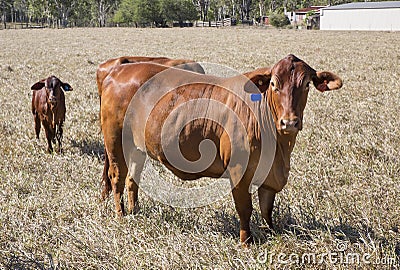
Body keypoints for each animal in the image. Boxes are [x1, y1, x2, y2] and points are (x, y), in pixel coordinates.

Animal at [100, 54, 340, 245]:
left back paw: (135, 212)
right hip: (115, 141)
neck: (280, 147)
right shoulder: (238, 170)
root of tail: (118, 70)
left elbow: (266, 209)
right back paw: (121, 216)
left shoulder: (270, 174)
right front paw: (246, 242)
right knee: (117, 177)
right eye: (273, 84)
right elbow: (245, 208)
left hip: (137, 148)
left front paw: (271, 234)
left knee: (132, 179)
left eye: (306, 84)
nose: (289, 122)